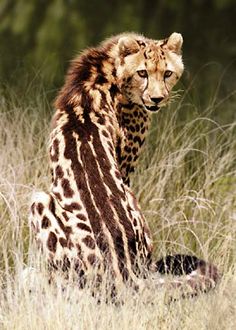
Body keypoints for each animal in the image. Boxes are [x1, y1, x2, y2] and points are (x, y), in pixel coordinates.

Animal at [30, 32, 219, 296]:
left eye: (167, 73)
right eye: (142, 73)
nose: (157, 99)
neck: (109, 69)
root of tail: (123, 269)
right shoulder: (126, 168)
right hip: (40, 199)